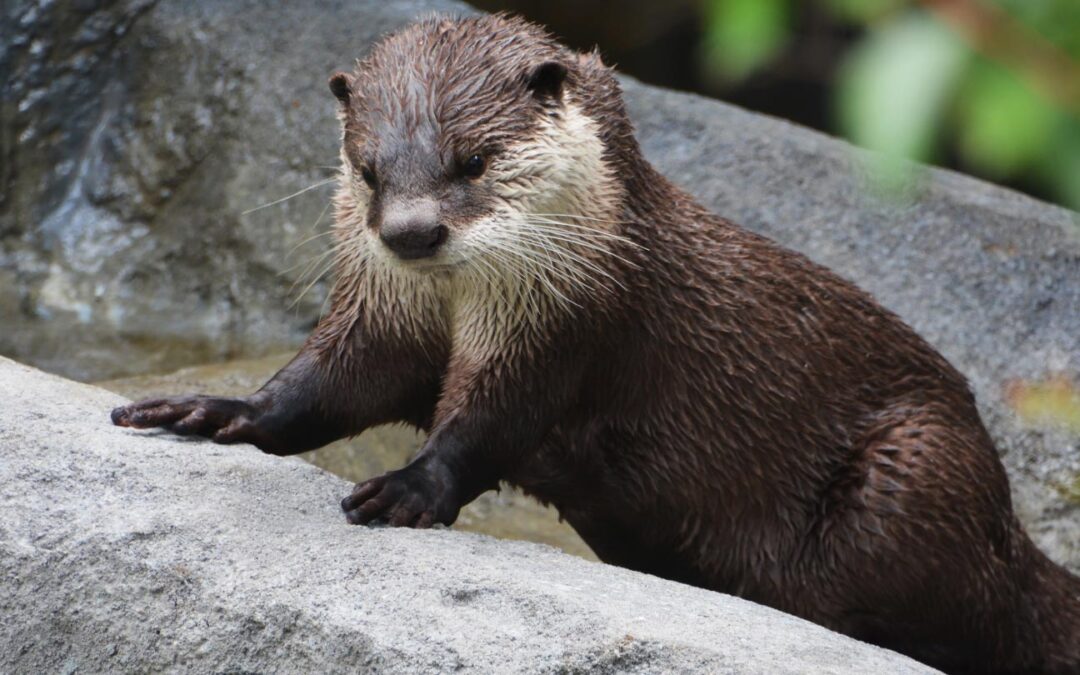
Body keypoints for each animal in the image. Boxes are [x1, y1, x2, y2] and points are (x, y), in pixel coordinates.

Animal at [111, 13, 1080, 669]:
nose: (411, 232)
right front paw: (217, 409)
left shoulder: (568, 326)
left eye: (473, 160)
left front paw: (407, 487)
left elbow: (489, 421)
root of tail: (1009, 533)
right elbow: (330, 383)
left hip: (913, 466)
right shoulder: (381, 313)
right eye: (370, 168)